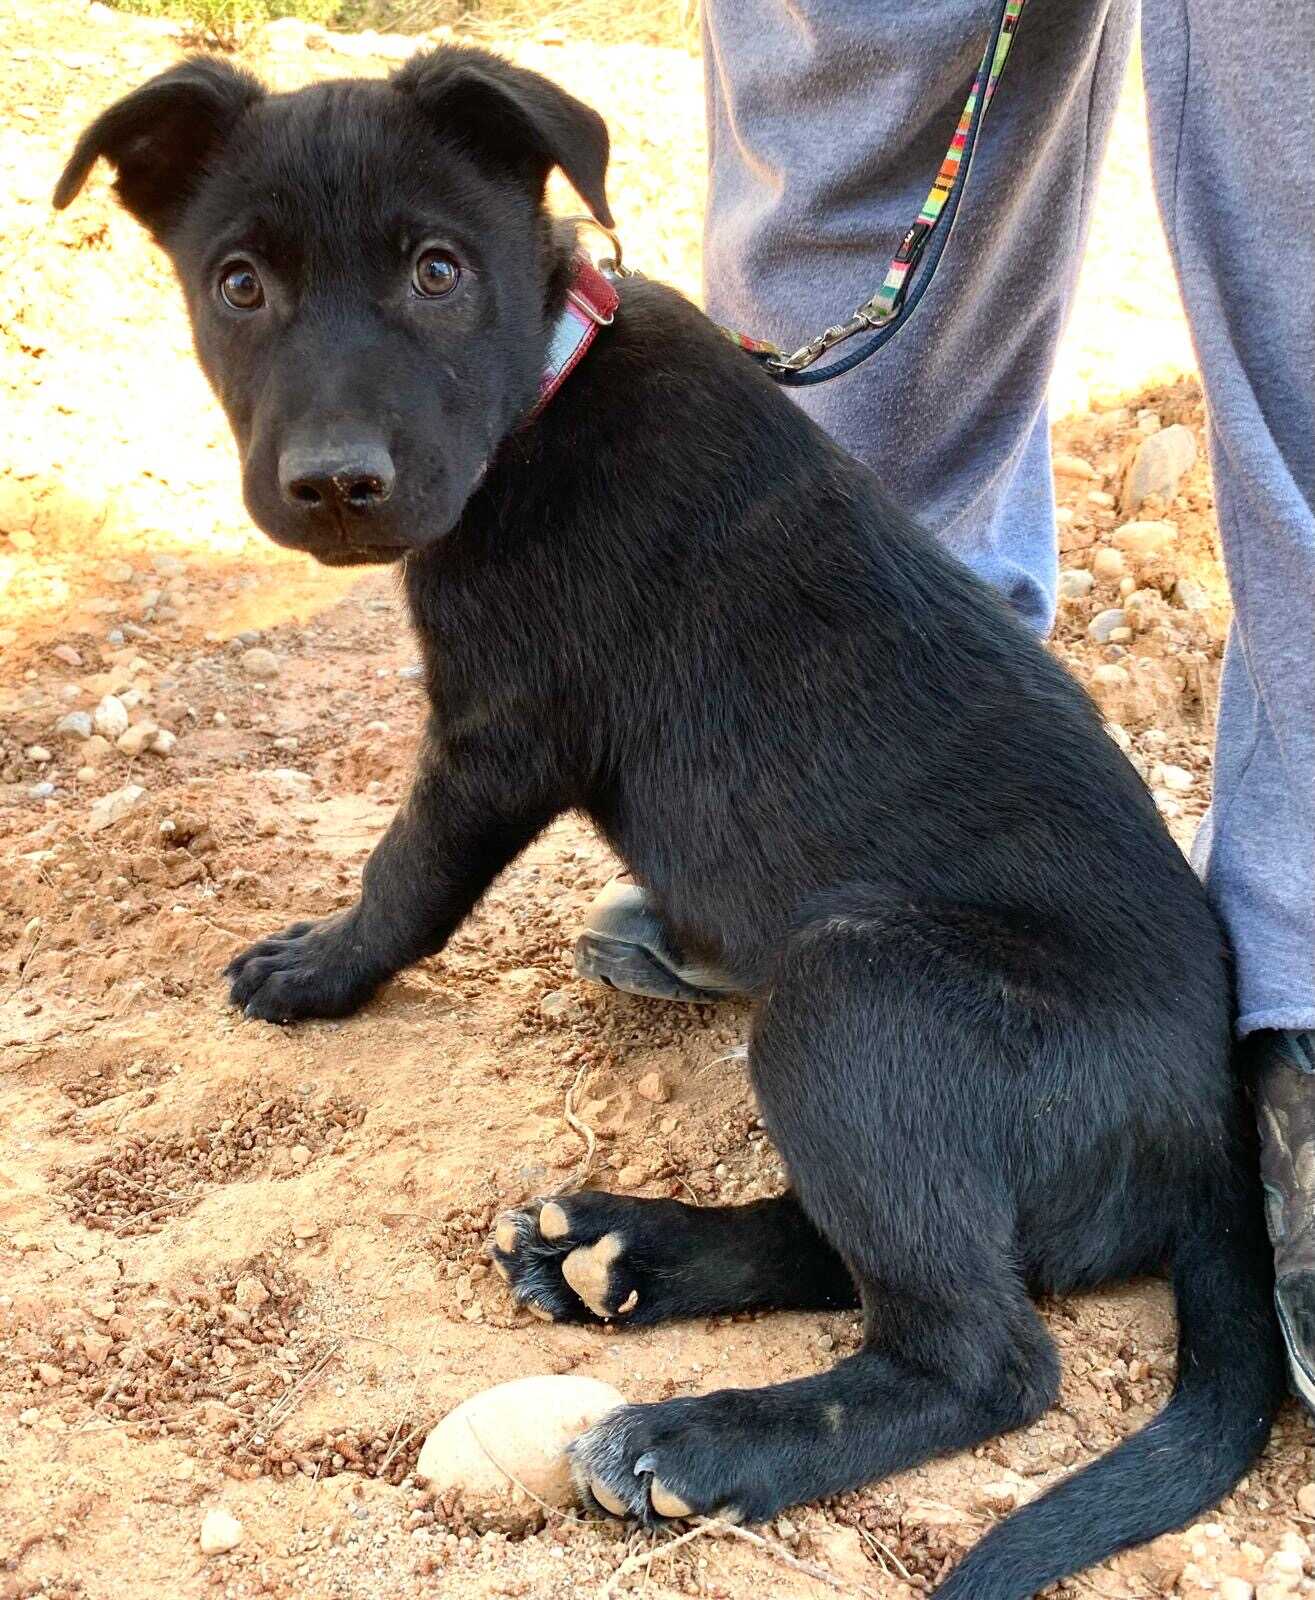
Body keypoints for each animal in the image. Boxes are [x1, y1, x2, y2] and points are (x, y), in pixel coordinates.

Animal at [57, 49, 1285, 1597]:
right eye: (239, 284)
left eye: (438, 270)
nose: (336, 483)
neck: (544, 380)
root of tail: (1210, 1136)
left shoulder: (498, 734)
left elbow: (406, 874)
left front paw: (322, 967)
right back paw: (619, 1256)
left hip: (854, 997)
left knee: (983, 1355)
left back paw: (704, 1440)